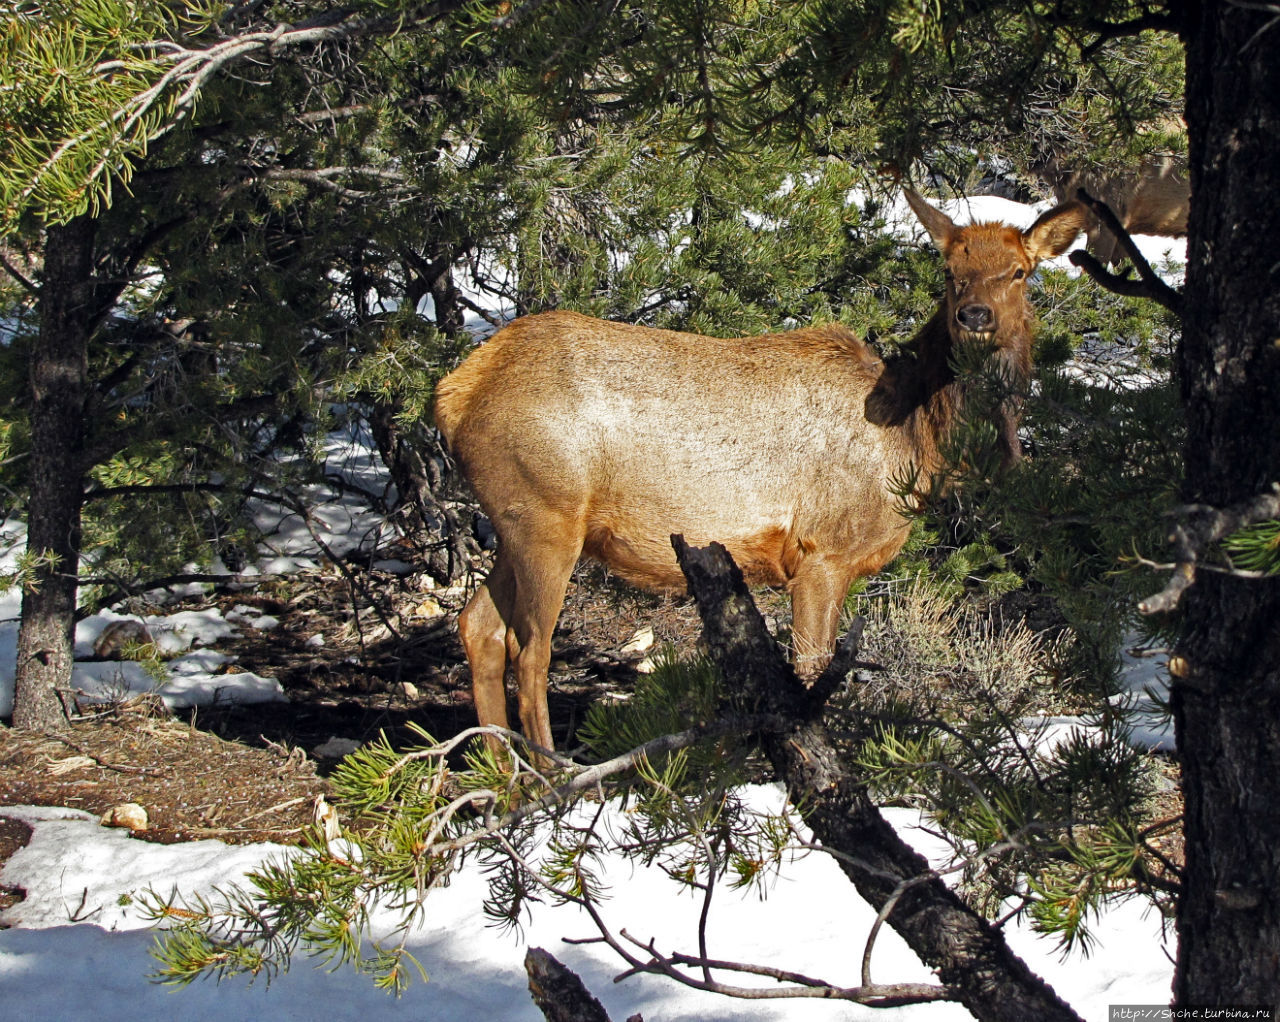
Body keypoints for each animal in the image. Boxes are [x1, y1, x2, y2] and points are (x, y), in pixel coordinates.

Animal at [435, 192, 1085, 758]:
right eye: (951, 270)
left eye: (1020, 272)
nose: (974, 315)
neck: (914, 442)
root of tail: (452, 395)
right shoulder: (823, 550)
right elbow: (812, 670)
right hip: (546, 514)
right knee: (530, 650)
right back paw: (549, 775)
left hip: (516, 521)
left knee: (478, 626)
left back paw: (504, 776)